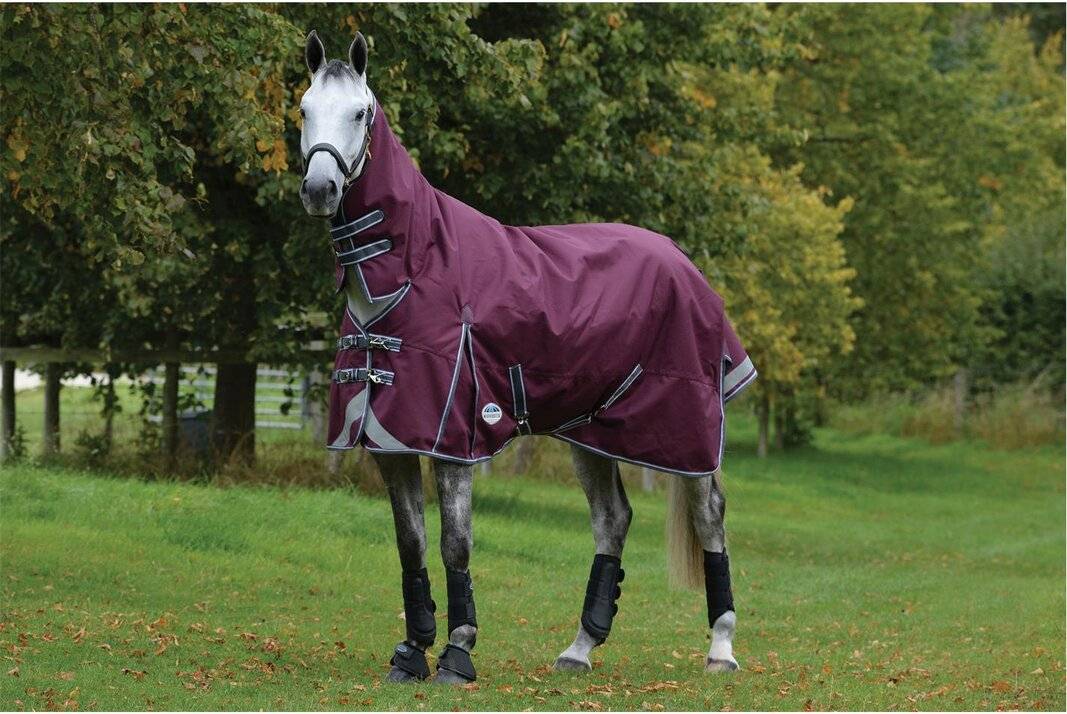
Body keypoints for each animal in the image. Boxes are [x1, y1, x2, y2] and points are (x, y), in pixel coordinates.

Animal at [297, 30, 755, 684]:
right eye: (304, 109)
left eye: (359, 113)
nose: (319, 190)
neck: (415, 269)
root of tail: (682, 262)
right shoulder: (392, 442)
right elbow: (410, 543)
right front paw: (410, 653)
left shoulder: (454, 438)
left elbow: (454, 543)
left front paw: (457, 654)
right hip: (591, 432)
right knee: (612, 519)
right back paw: (579, 649)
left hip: (684, 431)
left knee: (709, 514)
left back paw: (721, 648)